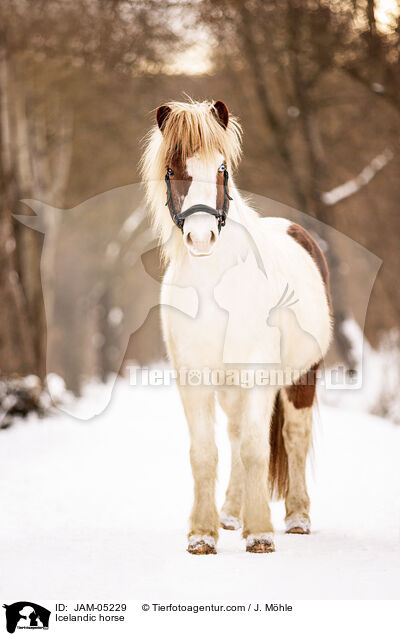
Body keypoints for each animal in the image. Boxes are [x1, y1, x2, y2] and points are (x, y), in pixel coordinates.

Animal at [141, 98, 332, 552]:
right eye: (172, 169)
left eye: (222, 168)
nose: (201, 238)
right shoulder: (193, 379)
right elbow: (205, 452)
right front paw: (202, 534)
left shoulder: (260, 375)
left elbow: (257, 448)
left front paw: (260, 533)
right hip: (230, 389)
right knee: (233, 435)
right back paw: (230, 512)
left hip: (302, 377)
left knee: (292, 437)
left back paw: (297, 517)